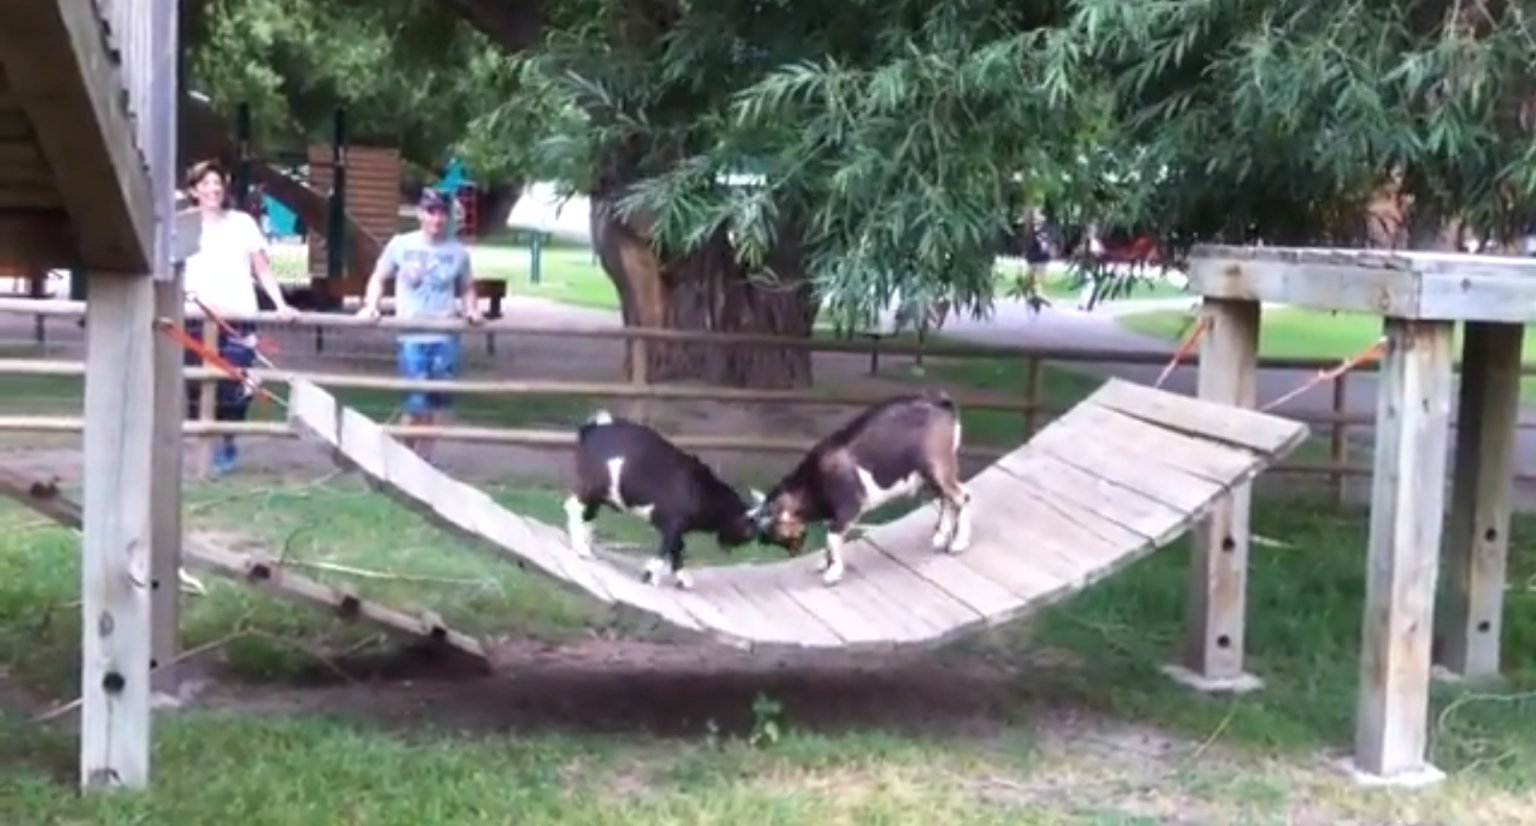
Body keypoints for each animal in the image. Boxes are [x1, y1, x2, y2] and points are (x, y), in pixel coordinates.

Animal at [562, 408, 758, 589]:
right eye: (747, 529)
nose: (749, 540)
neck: (702, 491)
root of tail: (598, 425)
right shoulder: (674, 522)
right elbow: (669, 547)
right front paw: (650, 576)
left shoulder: (674, 525)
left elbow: (677, 547)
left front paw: (681, 578)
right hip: (593, 484)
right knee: (574, 506)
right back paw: (581, 549)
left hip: (602, 493)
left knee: (589, 514)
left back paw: (586, 546)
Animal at [746, 386, 970, 586]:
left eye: (776, 535)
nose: (792, 554)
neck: (810, 485)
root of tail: (942, 403)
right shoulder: (836, 515)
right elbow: (830, 538)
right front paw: (825, 563)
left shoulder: (849, 507)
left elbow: (831, 536)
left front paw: (833, 573)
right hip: (932, 473)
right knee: (947, 499)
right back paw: (940, 538)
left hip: (937, 464)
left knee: (962, 497)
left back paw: (959, 544)